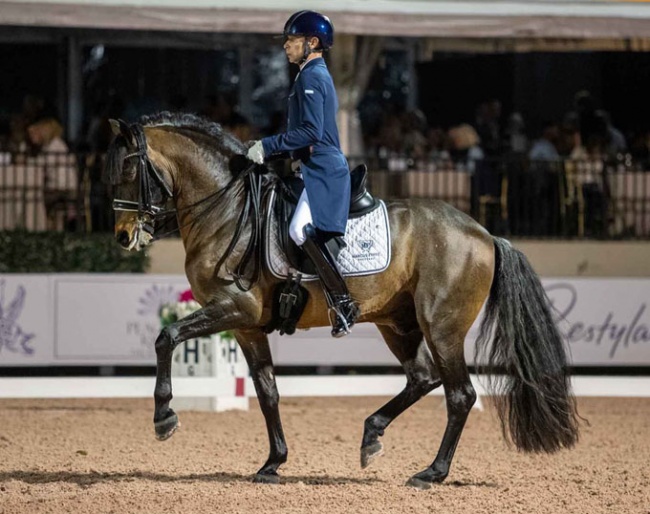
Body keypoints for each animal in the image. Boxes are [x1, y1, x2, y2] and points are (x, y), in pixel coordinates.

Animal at [105, 112, 576, 488]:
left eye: (128, 167)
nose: (124, 236)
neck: (226, 209)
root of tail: (484, 234)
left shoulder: (234, 309)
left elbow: (166, 336)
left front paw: (164, 417)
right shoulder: (247, 325)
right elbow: (267, 390)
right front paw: (273, 463)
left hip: (441, 327)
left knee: (459, 395)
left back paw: (431, 472)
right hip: (398, 324)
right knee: (422, 378)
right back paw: (372, 436)